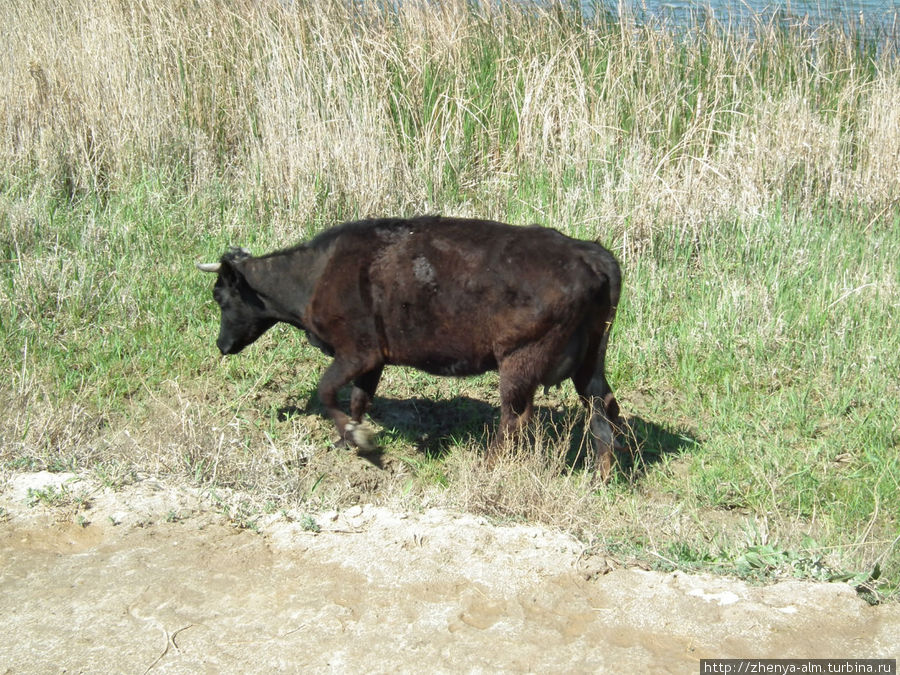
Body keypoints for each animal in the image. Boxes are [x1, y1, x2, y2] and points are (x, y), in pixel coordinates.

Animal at [196, 217, 620, 480]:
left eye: (219, 296)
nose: (221, 345)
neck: (317, 273)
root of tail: (587, 251)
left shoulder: (357, 352)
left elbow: (327, 390)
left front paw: (361, 442)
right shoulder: (373, 360)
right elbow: (358, 399)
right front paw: (347, 439)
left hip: (520, 362)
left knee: (514, 420)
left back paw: (487, 468)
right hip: (589, 363)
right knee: (602, 408)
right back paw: (602, 476)